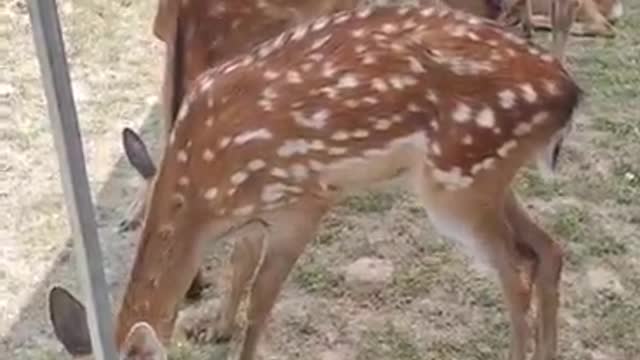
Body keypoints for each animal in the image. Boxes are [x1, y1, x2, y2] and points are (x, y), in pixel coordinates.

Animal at [47, 2, 584, 360]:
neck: (203, 195)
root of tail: (569, 93)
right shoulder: (253, 216)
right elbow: (241, 268)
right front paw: (214, 327)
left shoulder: (304, 201)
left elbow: (262, 299)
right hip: (482, 177)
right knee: (548, 249)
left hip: (457, 183)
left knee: (515, 266)